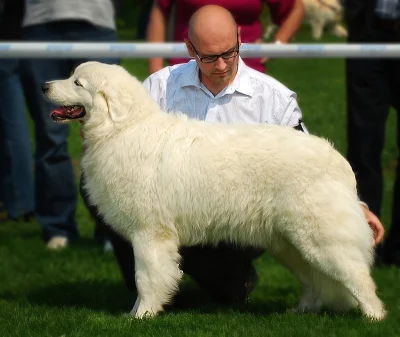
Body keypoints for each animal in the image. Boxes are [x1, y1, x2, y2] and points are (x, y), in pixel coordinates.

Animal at [42, 61, 386, 320]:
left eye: (77, 82)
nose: (45, 86)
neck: (123, 128)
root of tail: (338, 161)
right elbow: (145, 280)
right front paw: (135, 314)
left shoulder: (150, 234)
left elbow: (147, 278)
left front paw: (142, 316)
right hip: (290, 243)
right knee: (314, 282)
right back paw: (301, 311)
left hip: (320, 239)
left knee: (358, 275)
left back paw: (374, 316)